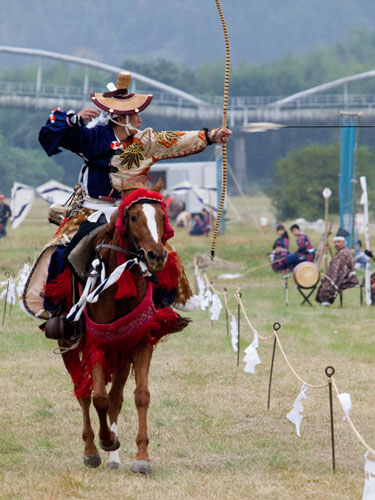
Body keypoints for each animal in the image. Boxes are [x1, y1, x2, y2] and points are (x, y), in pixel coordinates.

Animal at [58, 181, 185, 472]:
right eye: (134, 217)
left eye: (161, 216)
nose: (156, 255)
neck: (119, 284)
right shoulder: (96, 344)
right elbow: (98, 397)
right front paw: (105, 441)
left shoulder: (139, 343)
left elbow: (140, 395)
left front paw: (142, 457)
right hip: (69, 345)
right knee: (83, 392)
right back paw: (92, 450)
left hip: (121, 355)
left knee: (115, 397)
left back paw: (114, 457)